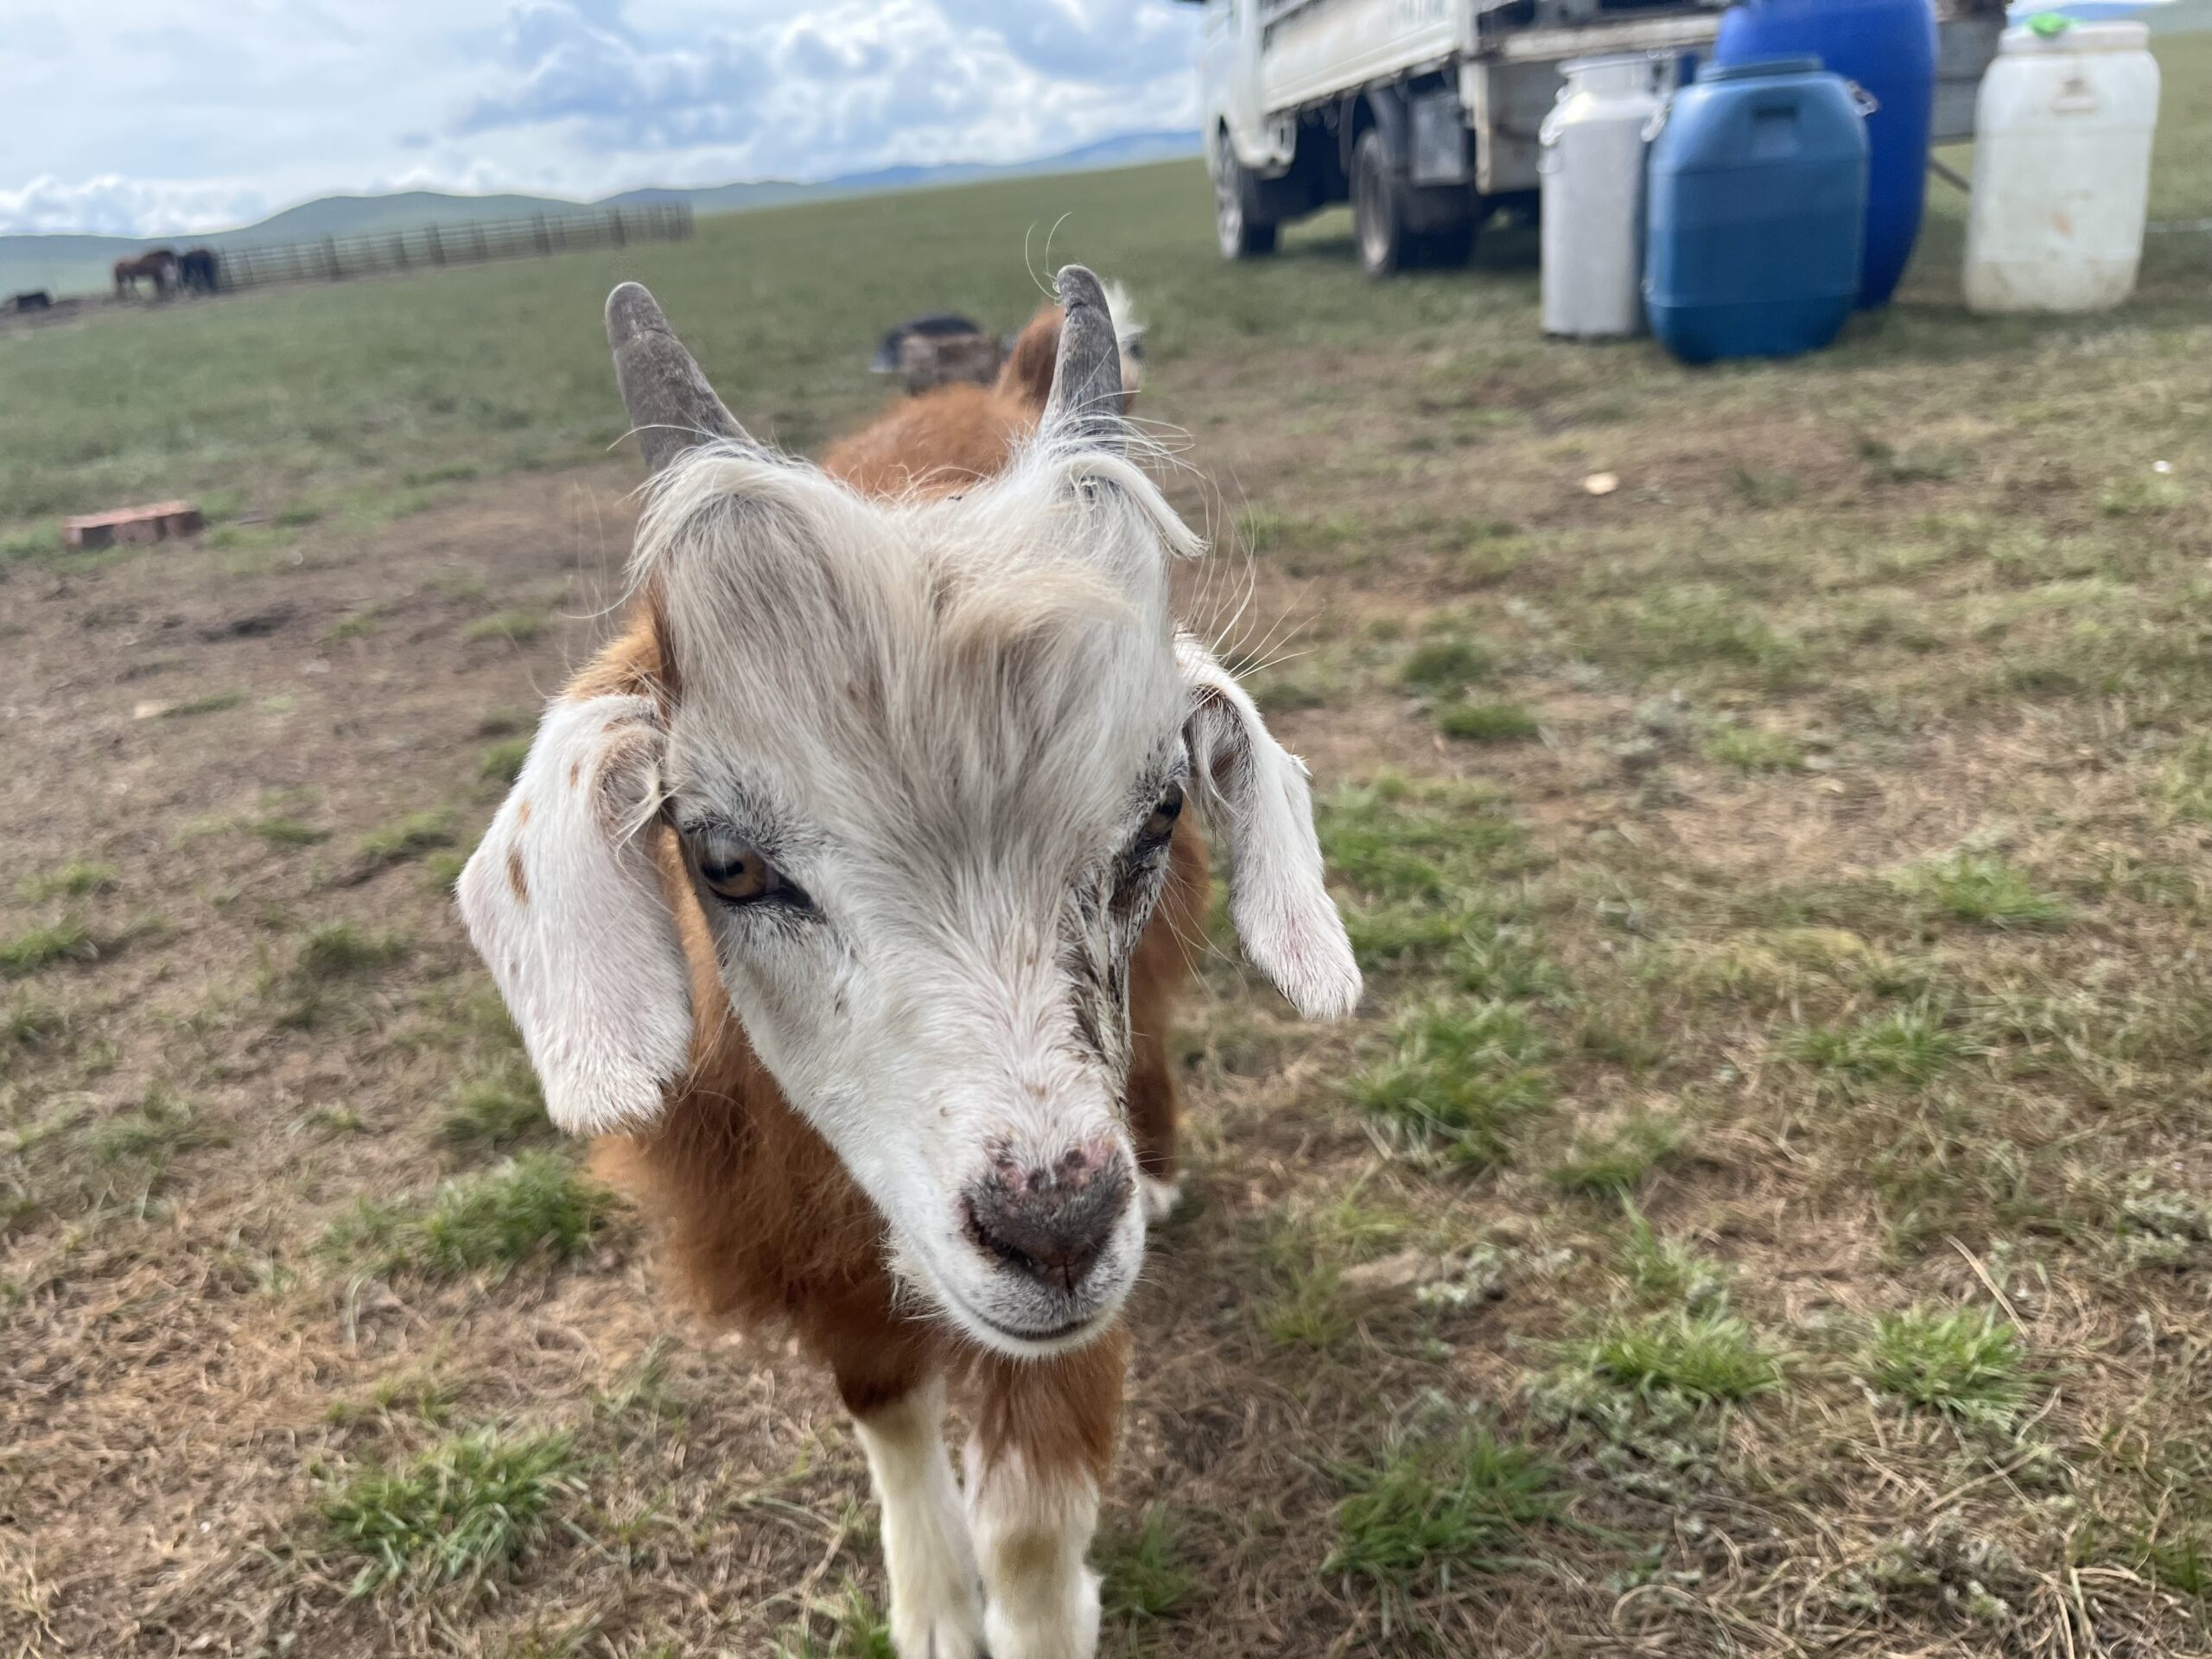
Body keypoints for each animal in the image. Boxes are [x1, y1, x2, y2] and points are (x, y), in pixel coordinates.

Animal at [457, 270, 1353, 1659]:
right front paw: (931, 1608)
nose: (1051, 1234)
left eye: (1158, 814)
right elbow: (882, 1398)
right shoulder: (805, 1245)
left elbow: (1031, 1525)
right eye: (724, 862)